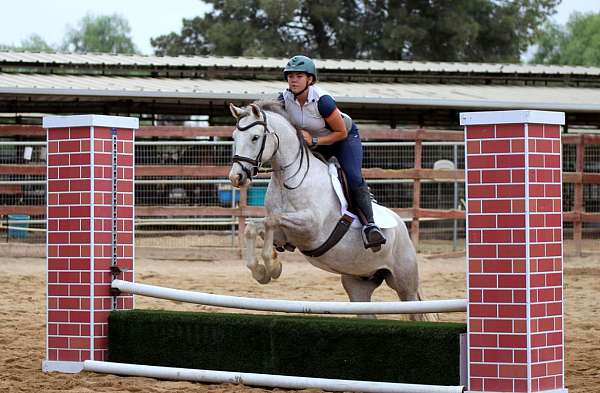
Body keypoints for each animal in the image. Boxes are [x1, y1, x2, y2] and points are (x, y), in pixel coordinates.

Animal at [226, 101, 426, 318]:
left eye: (255, 137)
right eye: (234, 137)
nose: (236, 177)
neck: (290, 179)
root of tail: (402, 227)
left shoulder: (309, 226)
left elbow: (271, 221)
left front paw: (271, 267)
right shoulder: (284, 233)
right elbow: (255, 227)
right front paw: (266, 270)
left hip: (405, 284)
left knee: (413, 307)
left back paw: (373, 233)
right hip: (358, 283)